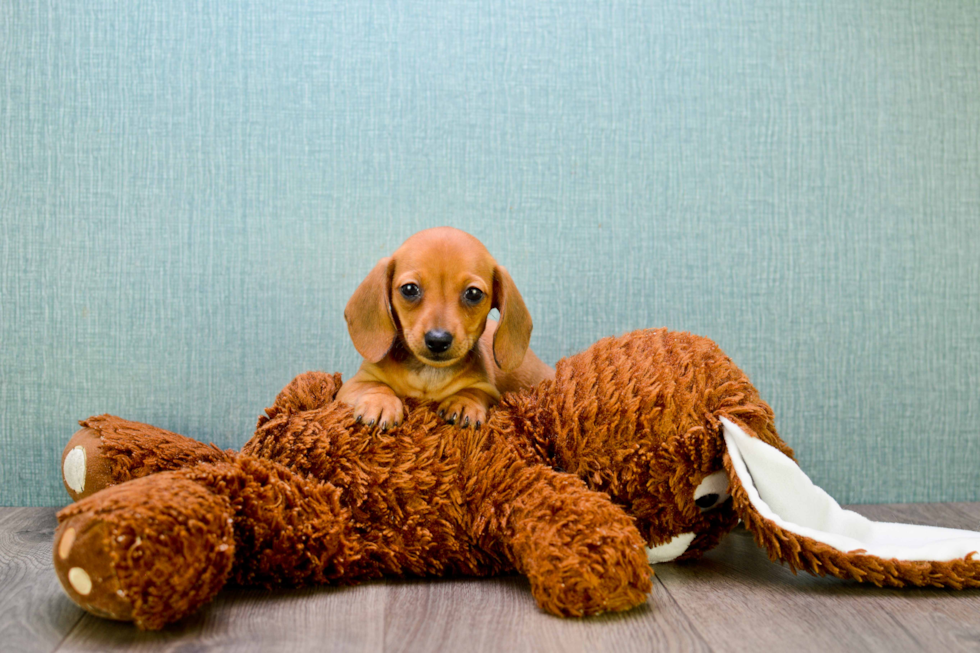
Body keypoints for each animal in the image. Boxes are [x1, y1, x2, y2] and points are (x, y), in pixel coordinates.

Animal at [336, 227, 556, 430]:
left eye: (474, 293)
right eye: (409, 289)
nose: (438, 340)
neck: (429, 375)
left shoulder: (488, 390)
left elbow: (474, 392)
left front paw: (464, 403)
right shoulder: (352, 385)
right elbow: (375, 385)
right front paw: (380, 401)